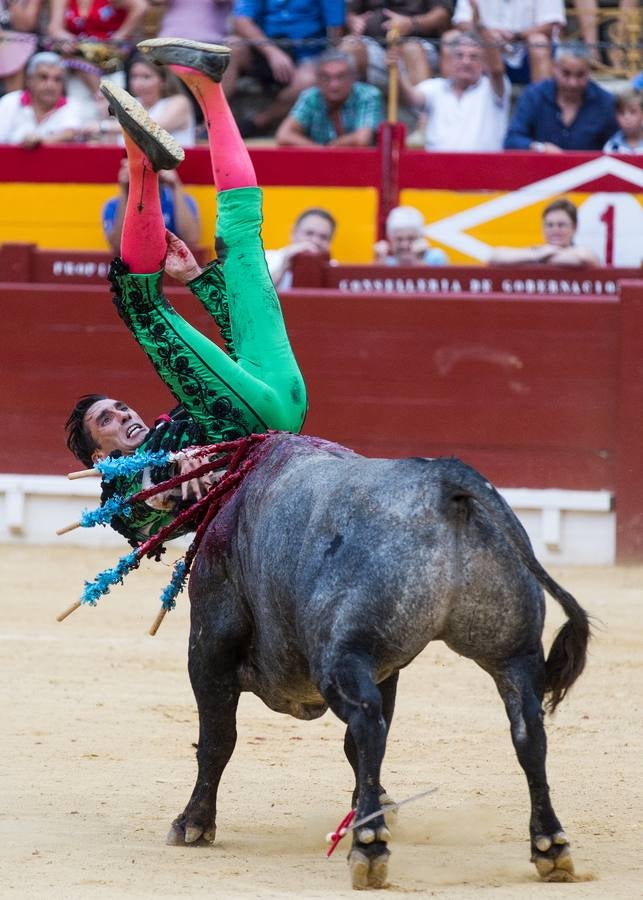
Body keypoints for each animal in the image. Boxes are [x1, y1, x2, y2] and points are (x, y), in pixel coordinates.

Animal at [165, 432, 588, 888]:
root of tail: (444, 483)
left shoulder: (209, 649)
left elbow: (217, 740)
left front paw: (192, 824)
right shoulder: (388, 669)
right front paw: (379, 806)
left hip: (343, 658)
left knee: (367, 726)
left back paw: (368, 849)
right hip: (513, 653)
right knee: (528, 731)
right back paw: (550, 846)